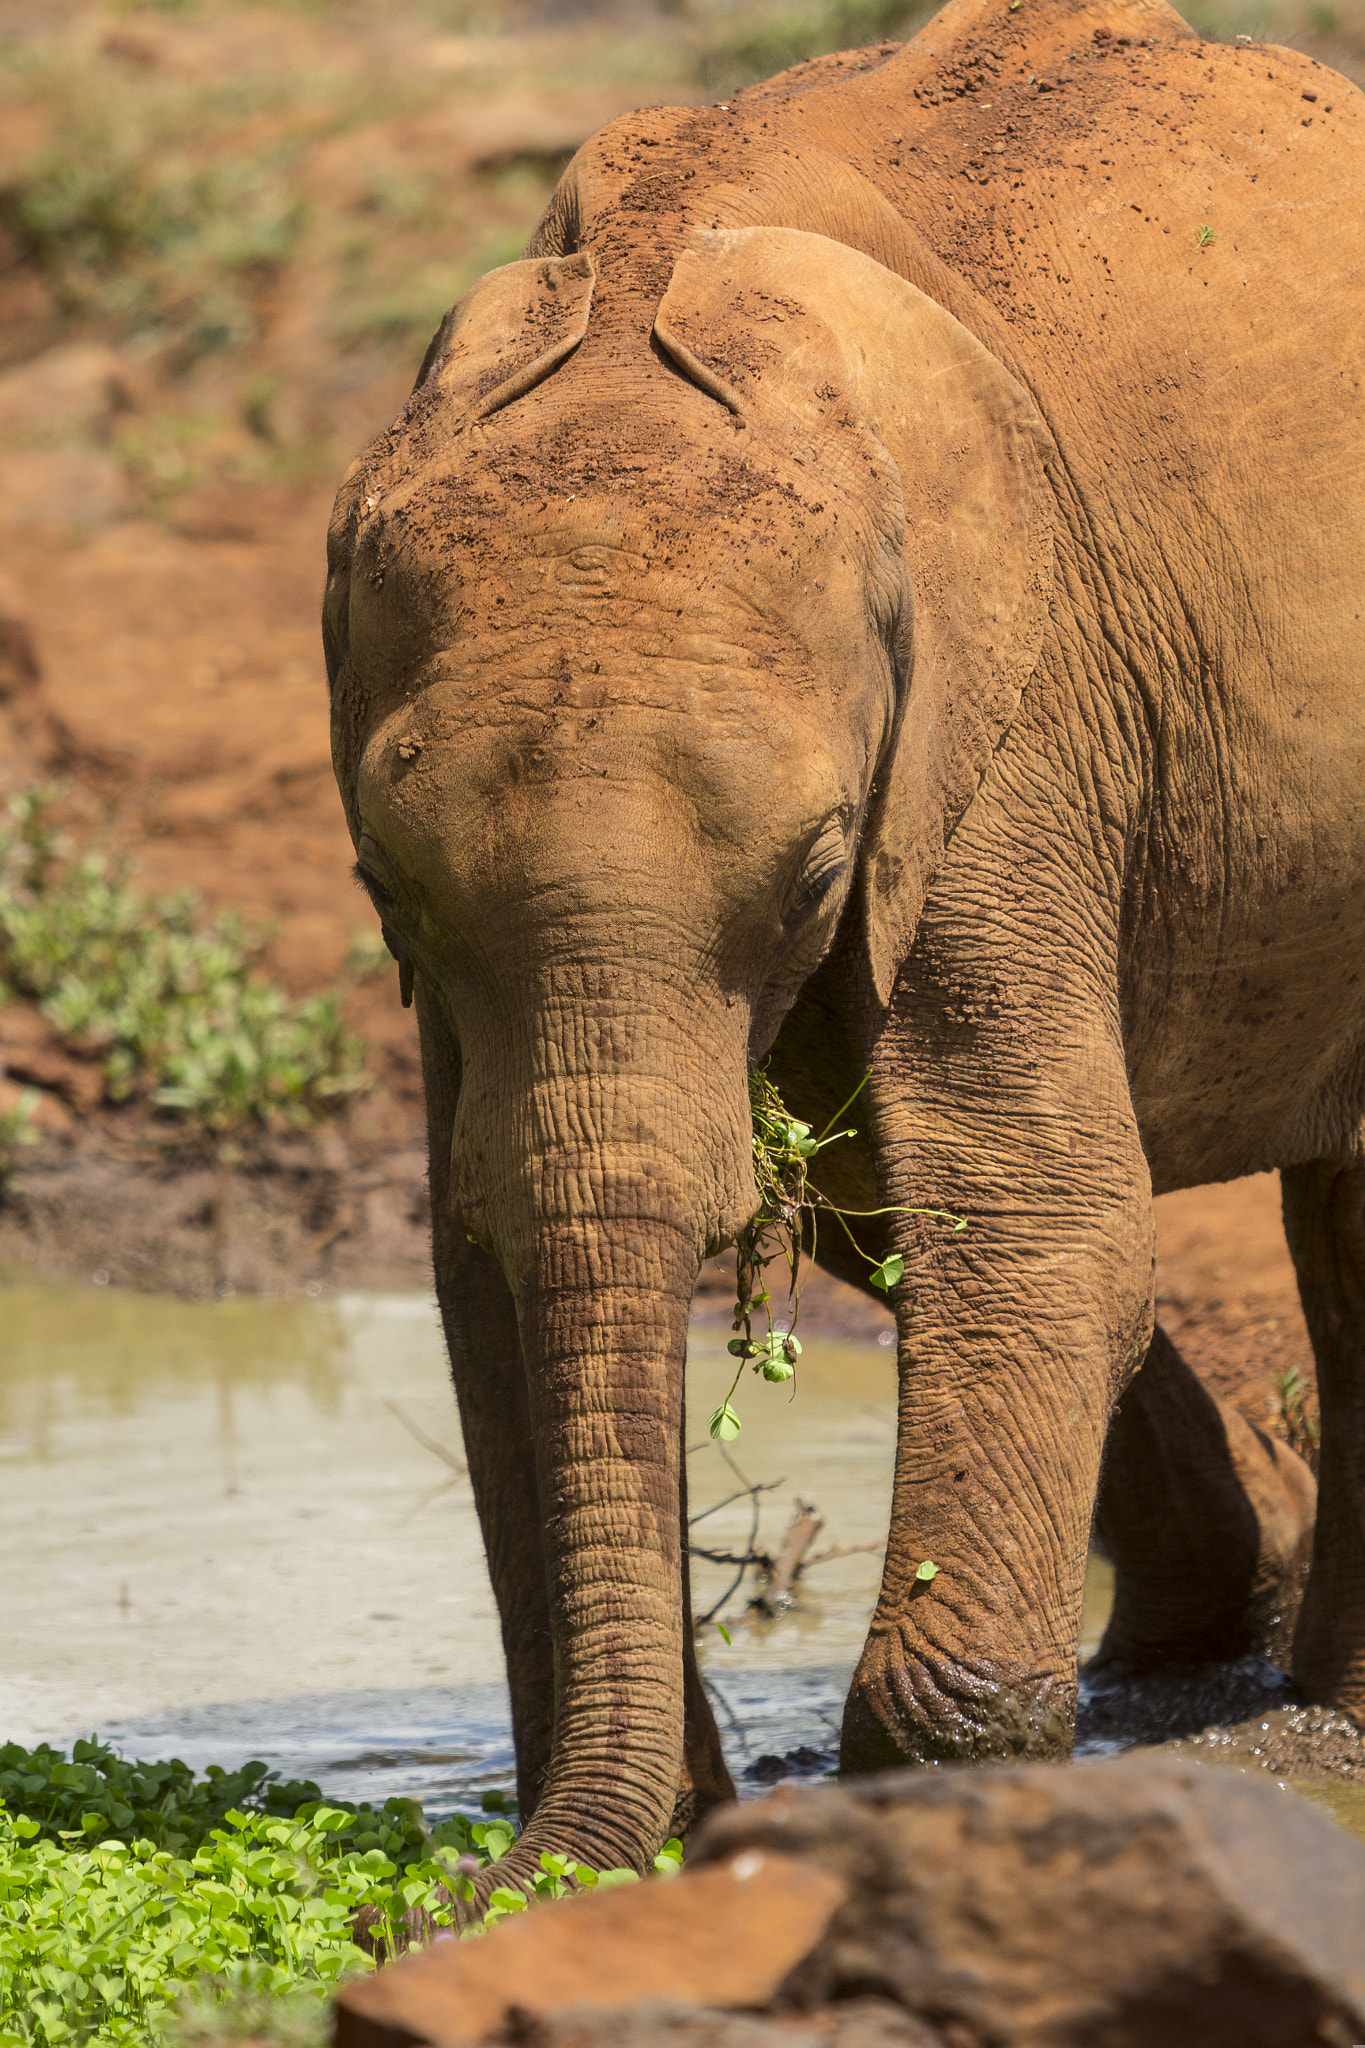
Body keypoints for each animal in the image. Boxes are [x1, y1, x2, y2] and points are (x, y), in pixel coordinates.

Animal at [325, 0, 1358, 1884]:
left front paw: (910, 1807)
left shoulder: (1003, 708)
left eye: (815, 873)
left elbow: (1036, 1207)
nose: (459, 1902)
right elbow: (481, 1239)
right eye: (384, 888)